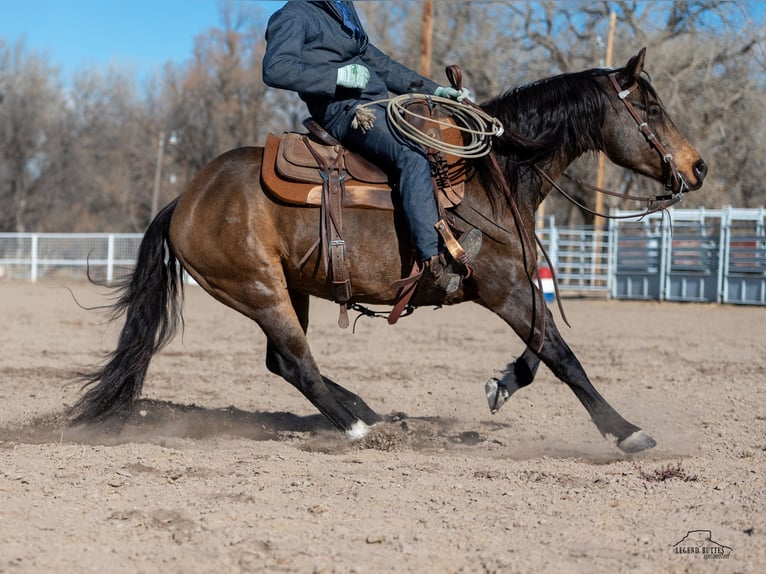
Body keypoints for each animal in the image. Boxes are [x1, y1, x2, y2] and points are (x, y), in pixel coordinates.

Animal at [70, 49, 708, 454]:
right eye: (651, 109)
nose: (698, 167)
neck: (494, 171)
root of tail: (185, 198)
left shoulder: (517, 288)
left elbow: (539, 349)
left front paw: (500, 385)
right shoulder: (503, 288)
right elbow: (562, 355)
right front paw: (627, 432)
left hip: (288, 289)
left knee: (283, 361)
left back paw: (372, 413)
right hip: (257, 289)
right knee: (297, 363)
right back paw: (359, 430)